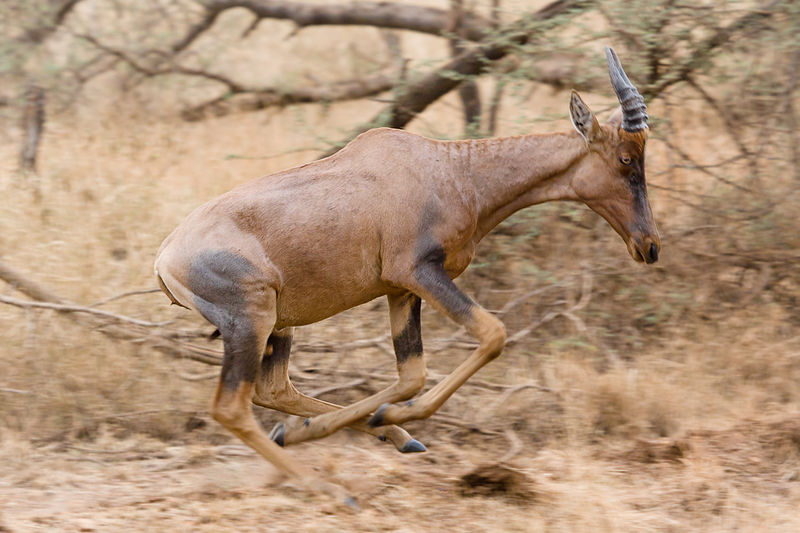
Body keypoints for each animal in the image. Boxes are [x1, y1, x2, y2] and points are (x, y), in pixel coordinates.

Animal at [155, 47, 656, 500]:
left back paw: (338, 436)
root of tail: (165, 257)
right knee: (232, 407)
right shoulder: (418, 272)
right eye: (625, 159)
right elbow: (491, 335)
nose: (649, 246)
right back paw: (328, 488)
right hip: (250, 319)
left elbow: (410, 375)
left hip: (280, 323)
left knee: (273, 389)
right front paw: (389, 419)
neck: (450, 169)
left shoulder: (400, 289)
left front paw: (382, 421)